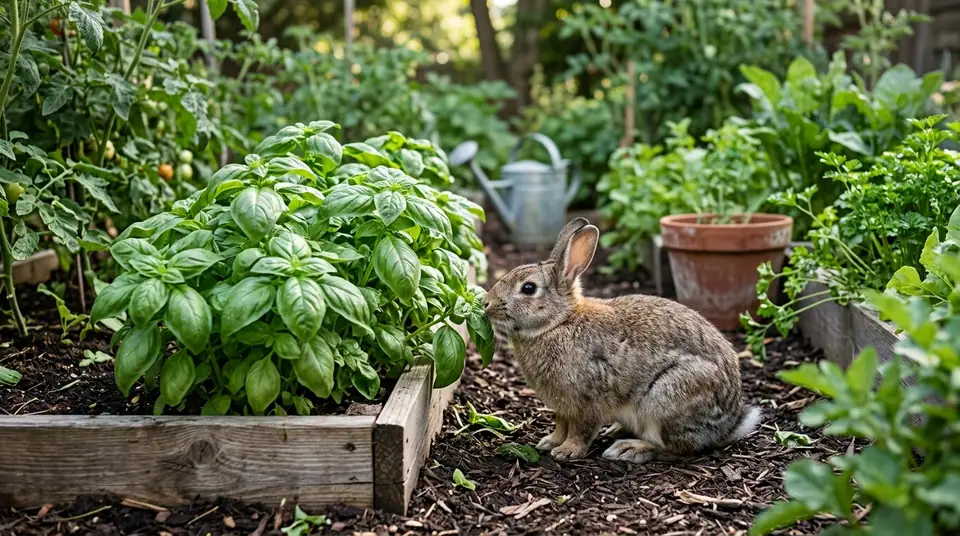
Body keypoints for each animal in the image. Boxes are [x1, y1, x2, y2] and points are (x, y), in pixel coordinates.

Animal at [482, 217, 760, 464]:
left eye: (528, 288)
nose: (486, 303)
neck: (559, 322)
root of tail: (727, 425)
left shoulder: (586, 400)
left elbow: (580, 430)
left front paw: (566, 452)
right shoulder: (562, 407)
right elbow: (561, 425)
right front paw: (549, 442)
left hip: (666, 397)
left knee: (679, 449)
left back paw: (629, 449)